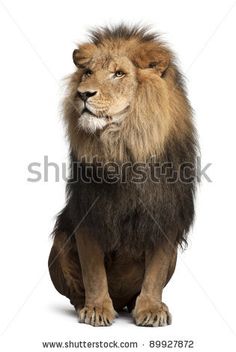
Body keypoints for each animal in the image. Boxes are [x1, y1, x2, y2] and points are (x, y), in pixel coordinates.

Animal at [48, 24, 197, 328]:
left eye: (119, 74)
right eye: (87, 72)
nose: (83, 94)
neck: (124, 147)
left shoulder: (165, 215)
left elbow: (155, 273)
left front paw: (151, 309)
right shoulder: (90, 214)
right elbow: (93, 271)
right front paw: (96, 309)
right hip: (59, 244)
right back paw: (84, 306)